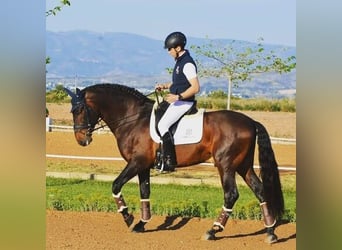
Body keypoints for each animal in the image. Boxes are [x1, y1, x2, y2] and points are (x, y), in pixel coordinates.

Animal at [63, 83, 284, 242]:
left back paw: (213, 231)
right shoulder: (143, 166)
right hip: (243, 166)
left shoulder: (137, 162)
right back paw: (270, 232)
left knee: (231, 195)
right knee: (260, 190)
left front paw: (128, 218)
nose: (81, 139)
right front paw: (141, 224)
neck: (133, 118)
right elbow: (145, 191)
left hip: (226, 165)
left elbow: (116, 185)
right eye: (72, 111)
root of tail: (250, 122)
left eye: (80, 109)